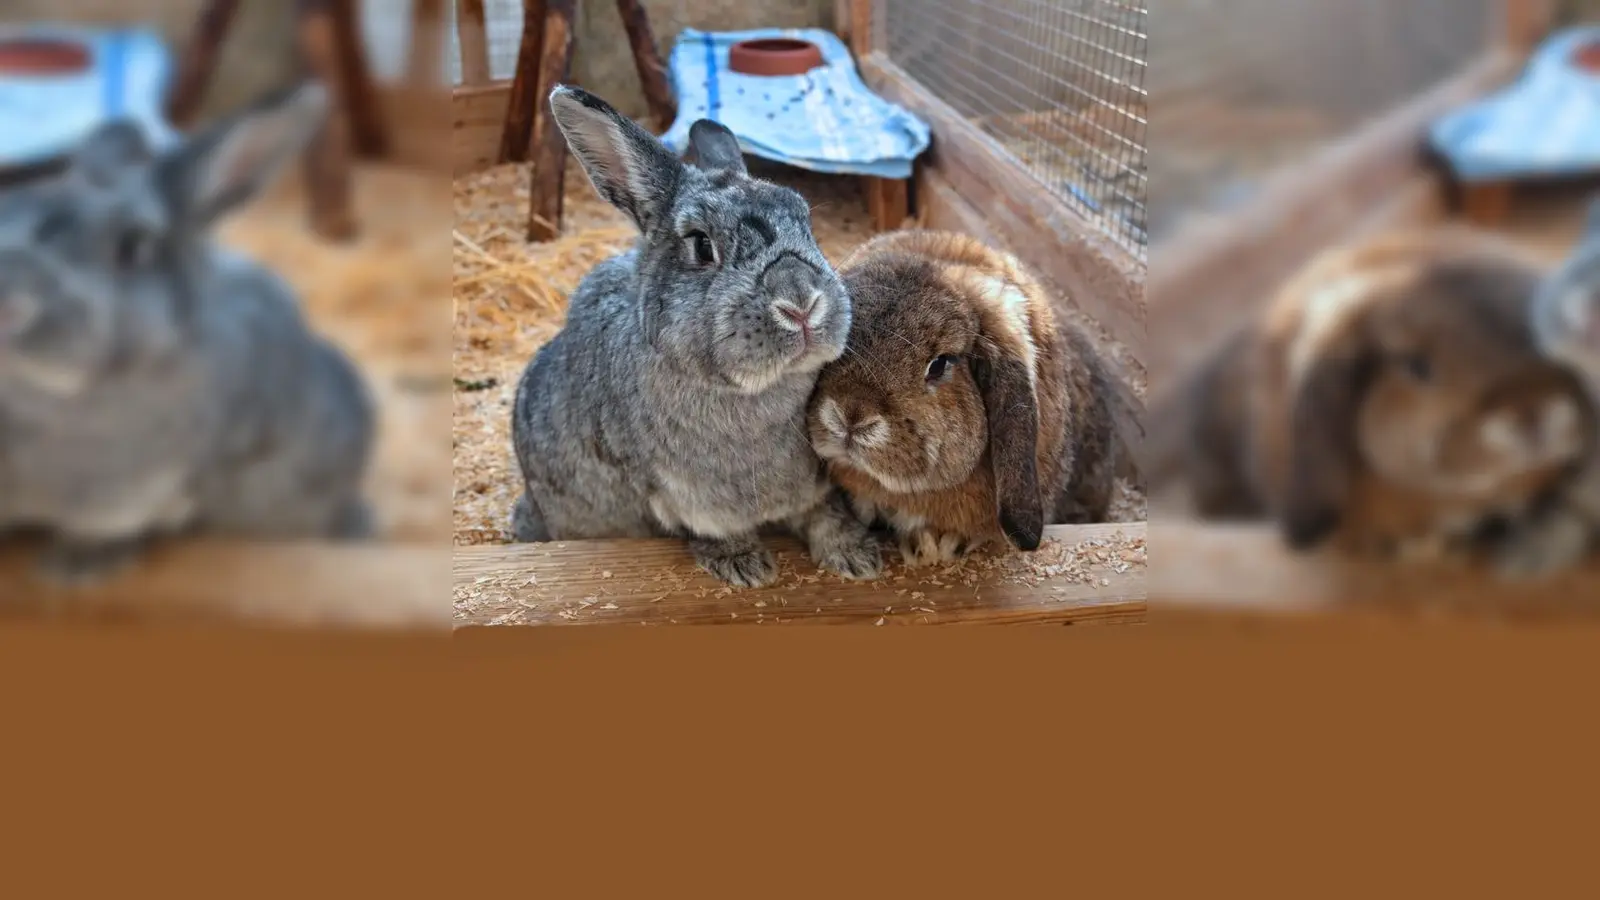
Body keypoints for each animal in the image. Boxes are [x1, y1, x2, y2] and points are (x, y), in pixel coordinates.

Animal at [0, 81, 375, 586]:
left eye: (134, 246)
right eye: (9, 204)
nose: (8, 302)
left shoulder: (139, 494)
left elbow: (110, 528)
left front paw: (75, 568)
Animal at [509, 86, 881, 588]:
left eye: (806, 222)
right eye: (702, 245)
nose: (801, 302)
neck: (756, 394)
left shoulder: (815, 487)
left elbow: (827, 516)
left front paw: (858, 558)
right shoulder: (679, 499)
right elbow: (710, 530)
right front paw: (745, 567)